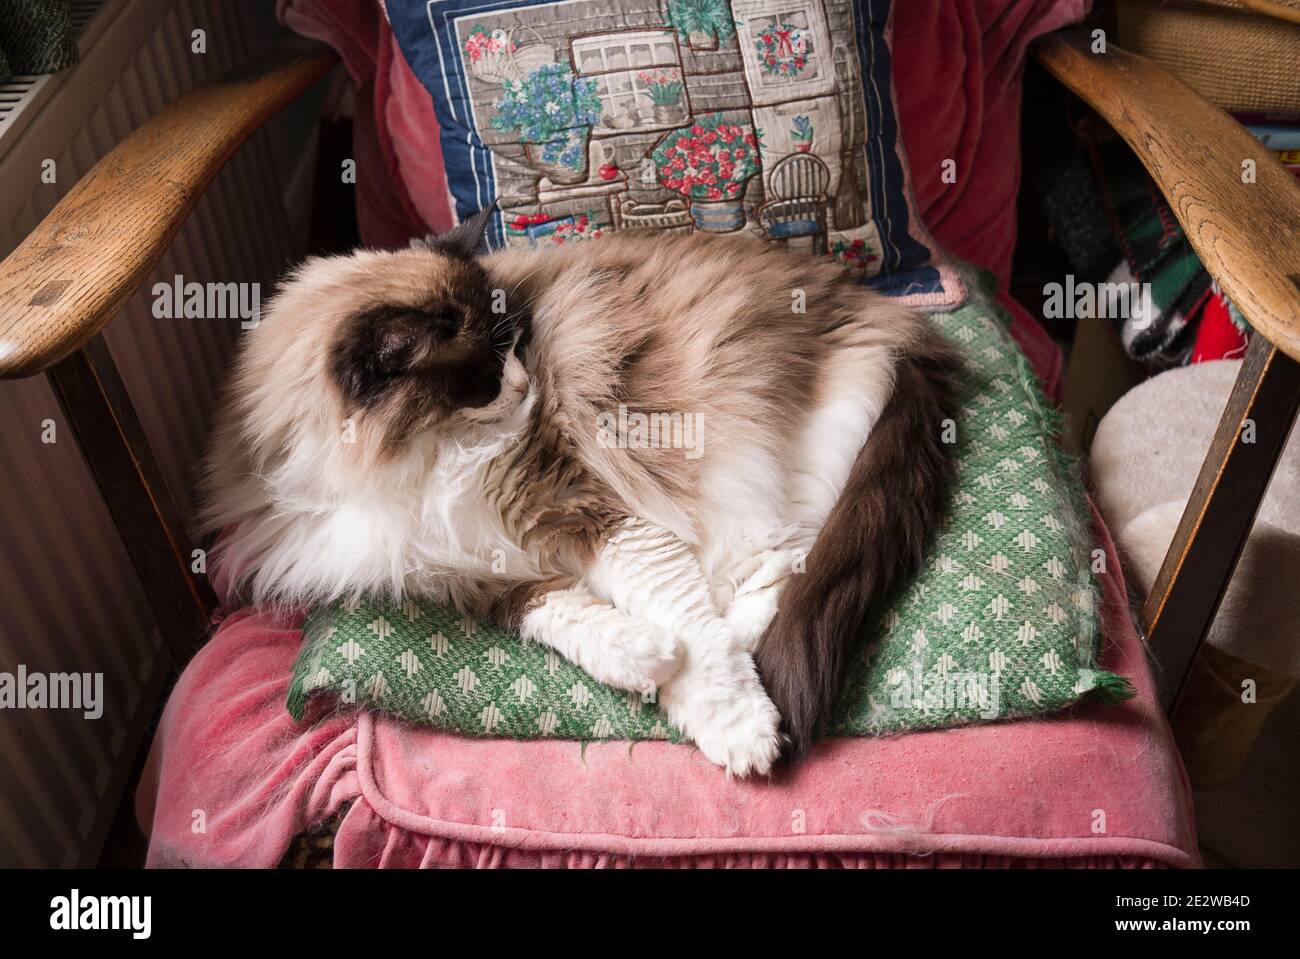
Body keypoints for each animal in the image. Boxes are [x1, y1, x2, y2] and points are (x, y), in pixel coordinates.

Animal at [200, 207, 956, 769]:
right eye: (484, 370)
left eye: (514, 342)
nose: (524, 383)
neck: (419, 463)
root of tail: (882, 312)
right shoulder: (471, 572)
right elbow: (564, 617)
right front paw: (648, 660)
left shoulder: (592, 510)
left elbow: (687, 627)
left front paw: (738, 730)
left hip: (737, 457)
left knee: (776, 568)